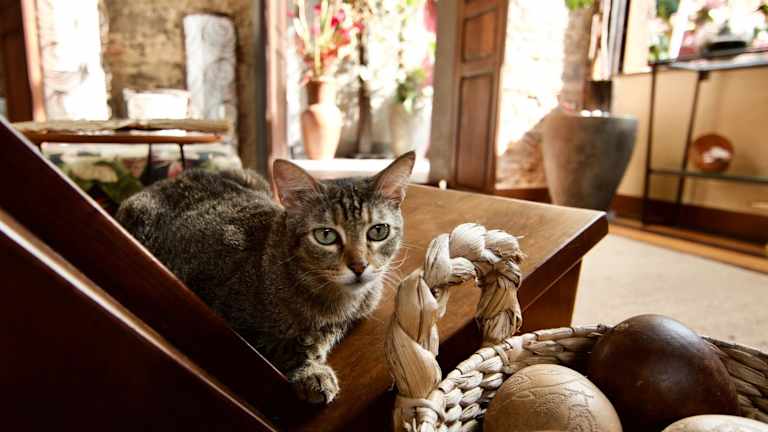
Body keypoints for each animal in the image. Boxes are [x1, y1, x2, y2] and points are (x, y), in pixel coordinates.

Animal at [116, 151, 415, 404]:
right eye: (326, 235)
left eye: (378, 231)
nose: (359, 266)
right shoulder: (227, 322)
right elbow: (282, 345)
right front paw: (310, 371)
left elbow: (325, 333)